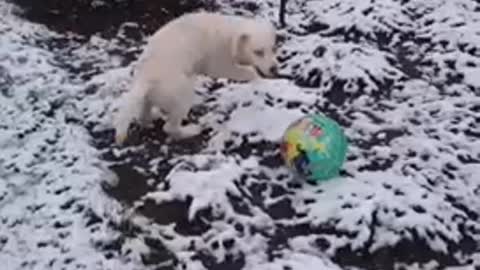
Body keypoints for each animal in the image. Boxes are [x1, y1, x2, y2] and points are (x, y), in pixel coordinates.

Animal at [114, 11, 278, 144]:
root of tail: (145, 79)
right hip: (182, 93)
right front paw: (259, 81)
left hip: (150, 95)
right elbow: (248, 71)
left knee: (144, 113)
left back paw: (152, 117)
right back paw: (192, 130)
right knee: (170, 127)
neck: (232, 34)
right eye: (258, 52)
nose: (274, 68)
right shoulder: (220, 64)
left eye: (273, 48)